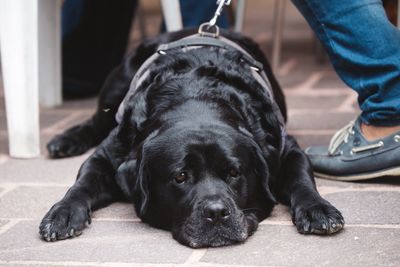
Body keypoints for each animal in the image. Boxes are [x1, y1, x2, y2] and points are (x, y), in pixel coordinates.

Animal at [39, 28, 342, 248]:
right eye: (180, 177)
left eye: (234, 173)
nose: (217, 212)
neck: (196, 96)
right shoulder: (109, 154)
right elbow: (83, 183)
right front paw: (63, 213)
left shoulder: (283, 148)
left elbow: (301, 177)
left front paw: (317, 209)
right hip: (116, 87)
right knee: (96, 119)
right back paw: (65, 141)